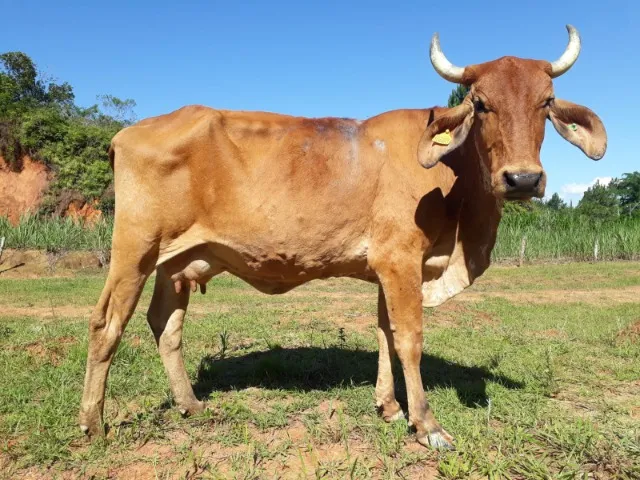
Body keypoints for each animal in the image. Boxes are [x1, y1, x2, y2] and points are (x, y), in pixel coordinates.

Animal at [79, 26, 606, 450]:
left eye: (546, 102)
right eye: (480, 103)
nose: (522, 179)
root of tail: (128, 132)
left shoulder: (388, 268)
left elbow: (383, 332)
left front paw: (389, 407)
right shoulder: (400, 260)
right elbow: (409, 338)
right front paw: (427, 424)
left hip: (177, 261)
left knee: (165, 324)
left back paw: (189, 404)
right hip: (134, 249)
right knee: (108, 324)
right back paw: (93, 423)